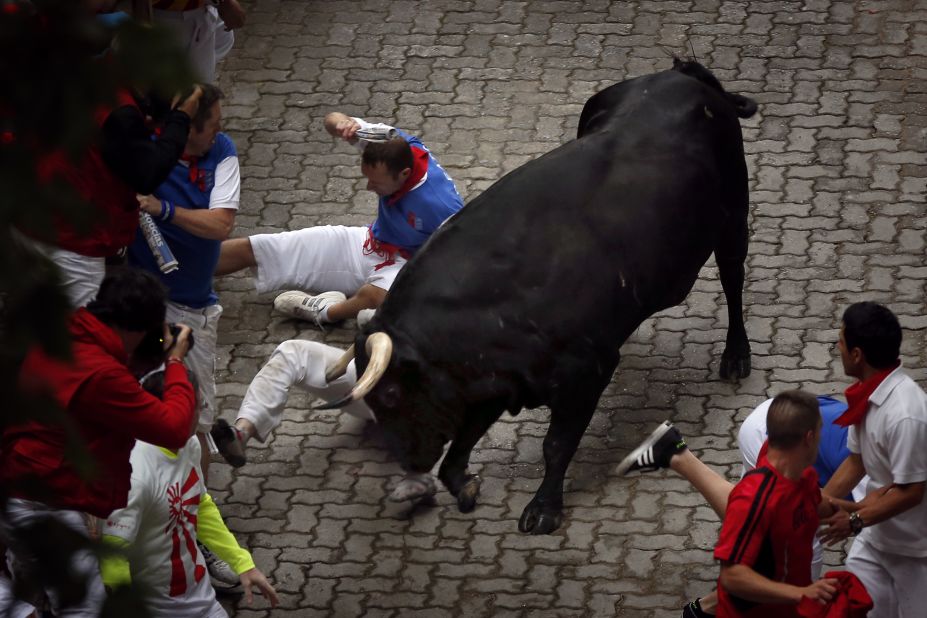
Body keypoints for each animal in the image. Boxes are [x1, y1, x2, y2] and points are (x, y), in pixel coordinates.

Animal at [322, 62, 756, 536]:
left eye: (390, 395)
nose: (410, 462)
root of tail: (682, 75)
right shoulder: (499, 379)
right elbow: (464, 441)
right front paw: (465, 486)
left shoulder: (585, 372)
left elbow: (556, 443)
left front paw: (545, 506)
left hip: (734, 215)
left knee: (733, 279)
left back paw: (736, 356)